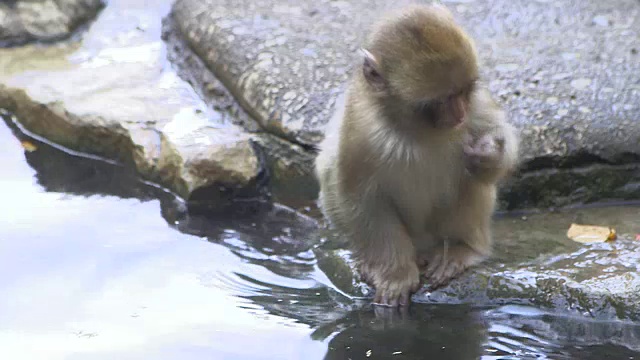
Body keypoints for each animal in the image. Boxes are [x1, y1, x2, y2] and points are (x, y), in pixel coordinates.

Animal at [316, 3, 520, 306]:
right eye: (439, 101)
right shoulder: (359, 131)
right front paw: (395, 274)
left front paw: (488, 153)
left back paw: (462, 249)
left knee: (470, 180)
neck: (415, 130)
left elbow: (501, 136)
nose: (460, 115)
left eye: (464, 90)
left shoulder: (476, 104)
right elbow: (360, 198)